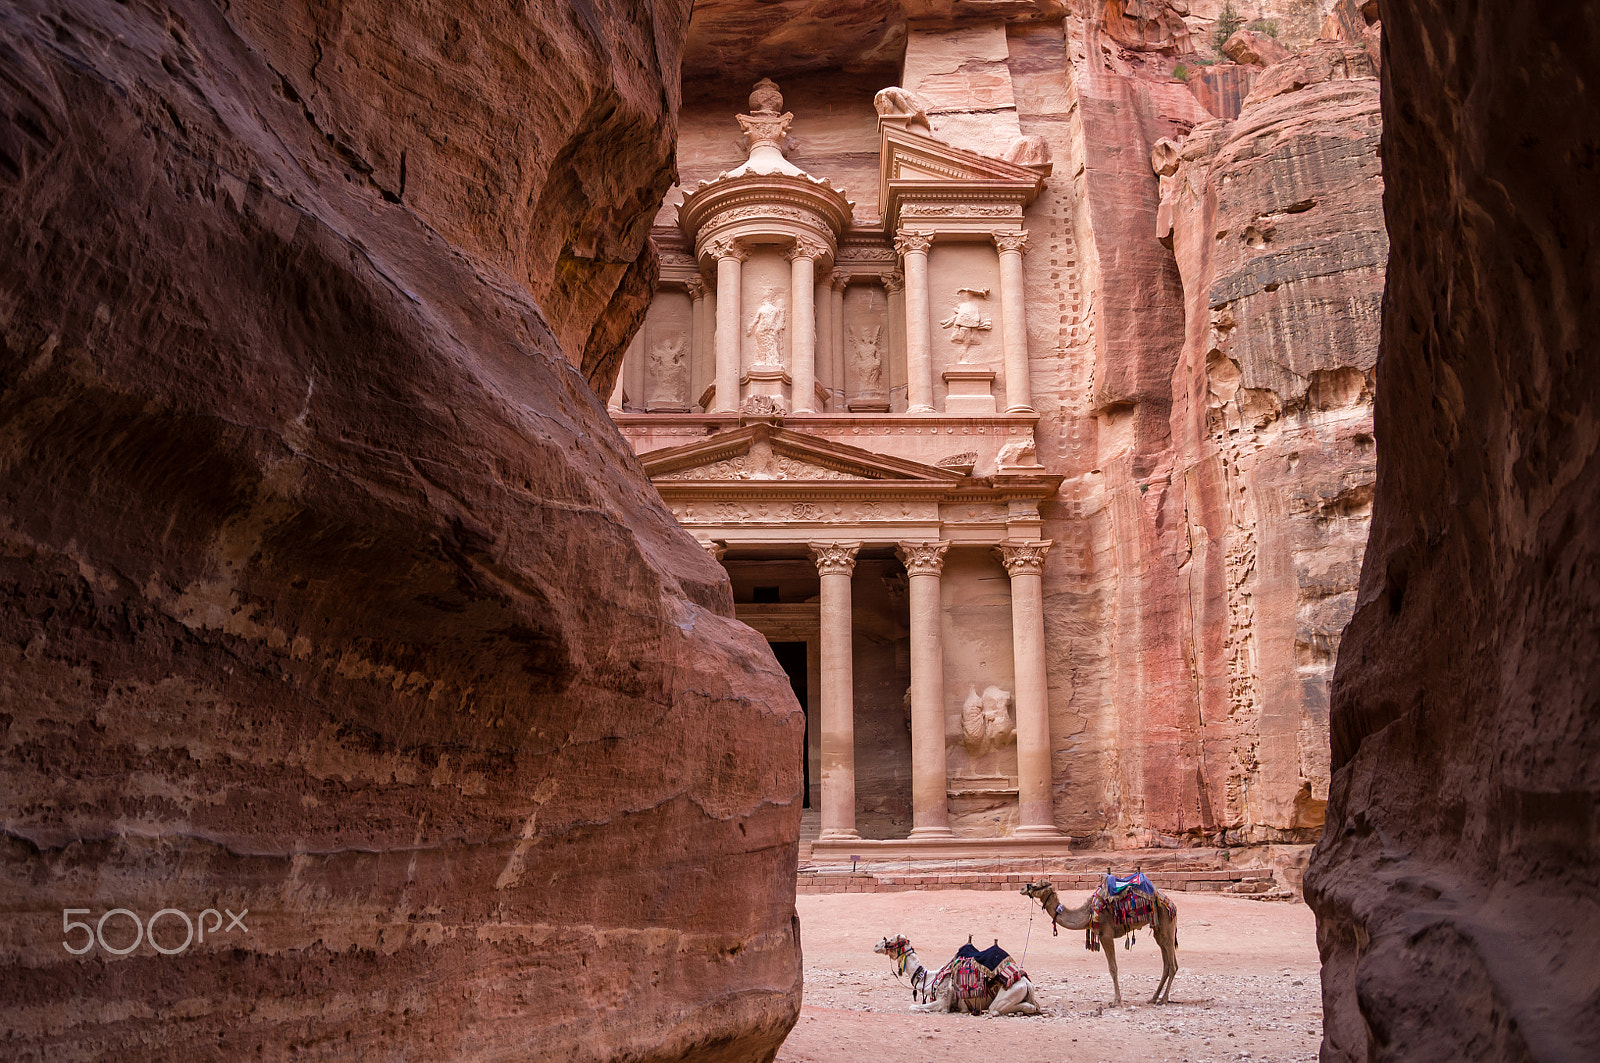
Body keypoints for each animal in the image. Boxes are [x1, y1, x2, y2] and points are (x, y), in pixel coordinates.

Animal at [876, 941, 1036, 1011]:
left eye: (890, 941)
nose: (876, 946)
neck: (929, 978)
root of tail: (1027, 984)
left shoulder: (944, 999)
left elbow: (913, 1007)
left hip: (1010, 993)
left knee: (999, 1008)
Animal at [1024, 870, 1177, 1005]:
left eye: (1036, 885)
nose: (1023, 888)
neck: (1088, 912)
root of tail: (1171, 904)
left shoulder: (1106, 935)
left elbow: (1113, 968)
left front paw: (1116, 1001)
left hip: (1166, 923)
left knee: (1173, 965)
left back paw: (1163, 999)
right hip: (1158, 929)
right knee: (1166, 962)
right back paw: (1153, 998)